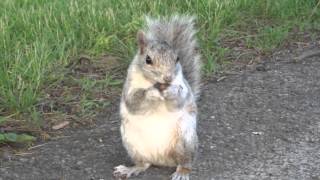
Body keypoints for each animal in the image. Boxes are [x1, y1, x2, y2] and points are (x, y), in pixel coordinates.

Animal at [114, 15, 201, 180]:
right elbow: (134, 101)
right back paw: (130, 169)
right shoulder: (129, 87)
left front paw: (171, 91)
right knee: (144, 164)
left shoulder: (183, 87)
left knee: (186, 162)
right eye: (148, 60)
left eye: (177, 58)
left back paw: (182, 172)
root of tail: (161, 159)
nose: (168, 78)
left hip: (185, 139)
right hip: (132, 143)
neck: (155, 83)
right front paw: (150, 93)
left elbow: (180, 99)